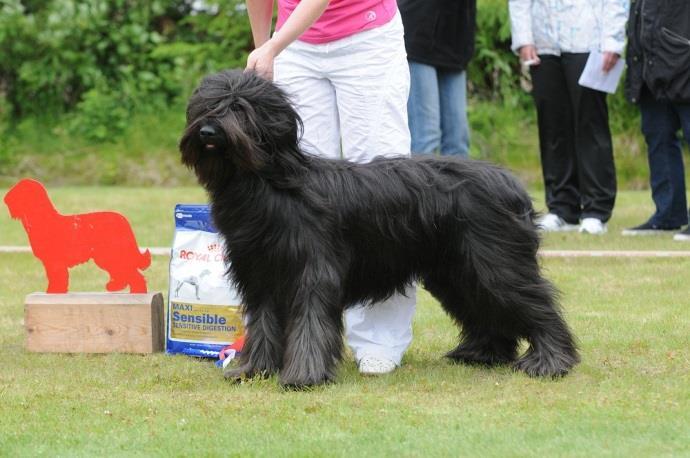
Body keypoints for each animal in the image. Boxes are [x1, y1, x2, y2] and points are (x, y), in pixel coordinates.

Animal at [177, 70, 576, 386]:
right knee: (486, 309)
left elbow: (309, 324)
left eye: (239, 108)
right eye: (207, 106)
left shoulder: (312, 270)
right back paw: (483, 354)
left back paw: (551, 361)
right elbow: (262, 325)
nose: (208, 131)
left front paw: (303, 376)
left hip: (494, 262)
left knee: (536, 305)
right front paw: (253, 370)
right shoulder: (260, 274)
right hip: (457, 271)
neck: (270, 185)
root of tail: (510, 182)